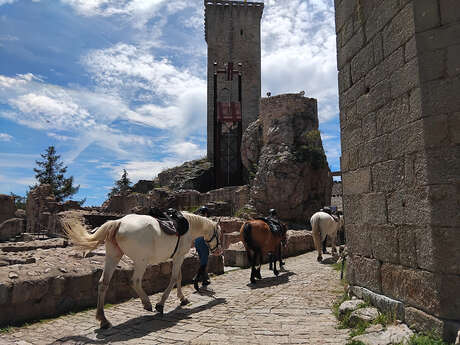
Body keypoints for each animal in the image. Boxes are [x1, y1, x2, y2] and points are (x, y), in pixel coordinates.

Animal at [63, 211, 223, 326]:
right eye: (220, 234)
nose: (219, 251)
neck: (188, 226)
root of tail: (119, 222)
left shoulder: (177, 257)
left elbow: (178, 277)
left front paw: (182, 299)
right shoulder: (179, 257)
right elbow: (174, 278)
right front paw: (161, 304)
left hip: (113, 256)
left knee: (103, 283)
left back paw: (103, 319)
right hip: (141, 261)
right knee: (135, 281)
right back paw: (147, 303)